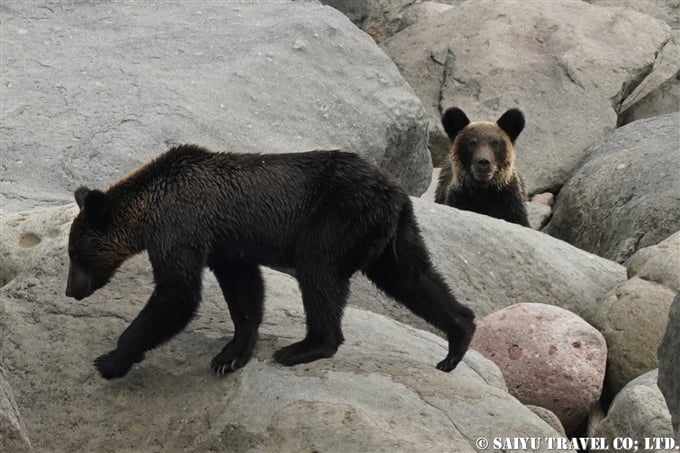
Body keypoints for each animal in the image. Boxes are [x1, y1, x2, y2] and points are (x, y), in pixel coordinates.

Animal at [66, 144, 476, 378]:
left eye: (74, 254)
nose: (71, 290)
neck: (148, 210)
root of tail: (393, 189)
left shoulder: (181, 228)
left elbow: (176, 294)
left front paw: (111, 358)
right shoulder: (226, 244)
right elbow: (244, 291)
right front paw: (231, 355)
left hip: (337, 216)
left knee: (318, 271)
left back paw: (304, 347)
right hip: (391, 232)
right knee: (413, 277)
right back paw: (457, 338)